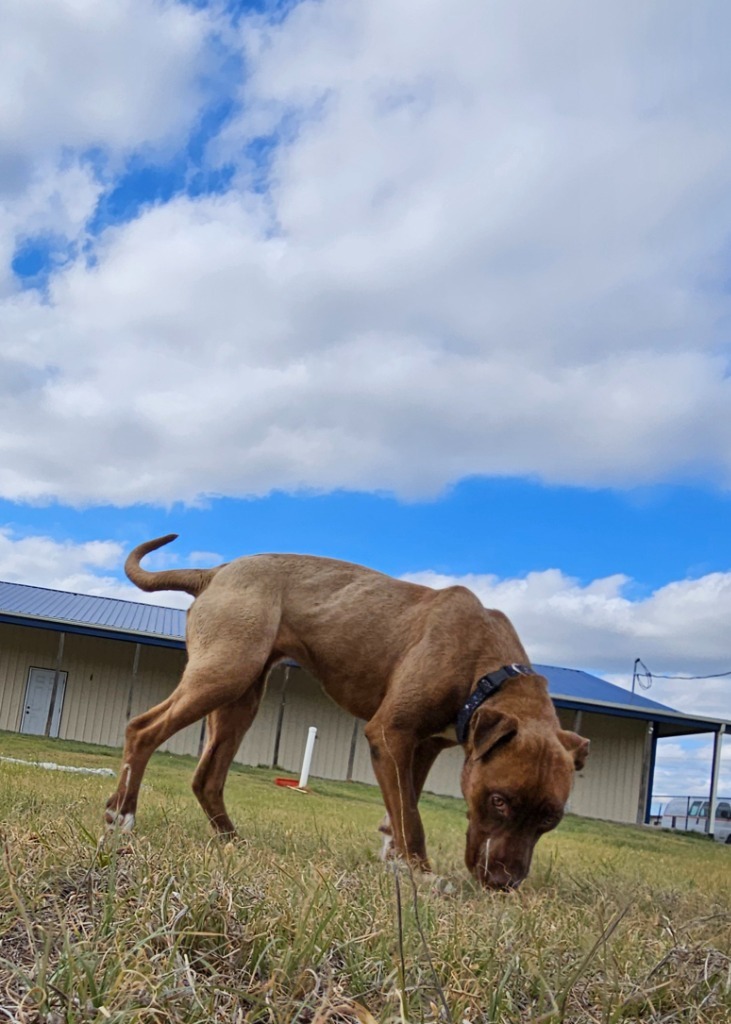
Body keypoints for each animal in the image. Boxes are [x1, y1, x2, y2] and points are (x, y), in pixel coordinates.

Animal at [108, 536, 585, 888]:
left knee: (207, 777)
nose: (503, 884)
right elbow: (411, 816)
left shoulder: (424, 745)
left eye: (550, 818)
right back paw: (121, 816)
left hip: (240, 698)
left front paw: (396, 859)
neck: (488, 673)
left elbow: (404, 805)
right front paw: (423, 875)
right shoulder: (390, 733)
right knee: (142, 728)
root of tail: (216, 572)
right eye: (499, 800)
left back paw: (232, 841)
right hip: (223, 673)